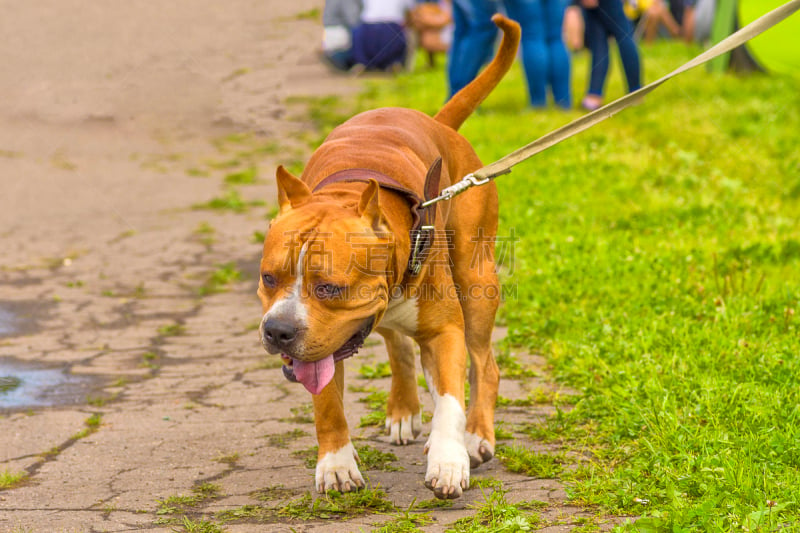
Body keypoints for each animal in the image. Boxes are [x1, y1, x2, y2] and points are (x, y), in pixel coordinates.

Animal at [256, 16, 520, 498]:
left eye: (329, 287)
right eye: (268, 278)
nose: (278, 331)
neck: (344, 192)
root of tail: (438, 123)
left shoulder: (445, 331)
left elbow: (451, 398)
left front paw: (448, 459)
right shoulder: (324, 343)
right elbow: (327, 403)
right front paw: (336, 463)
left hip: (476, 282)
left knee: (483, 366)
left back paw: (475, 437)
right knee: (398, 344)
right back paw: (404, 409)